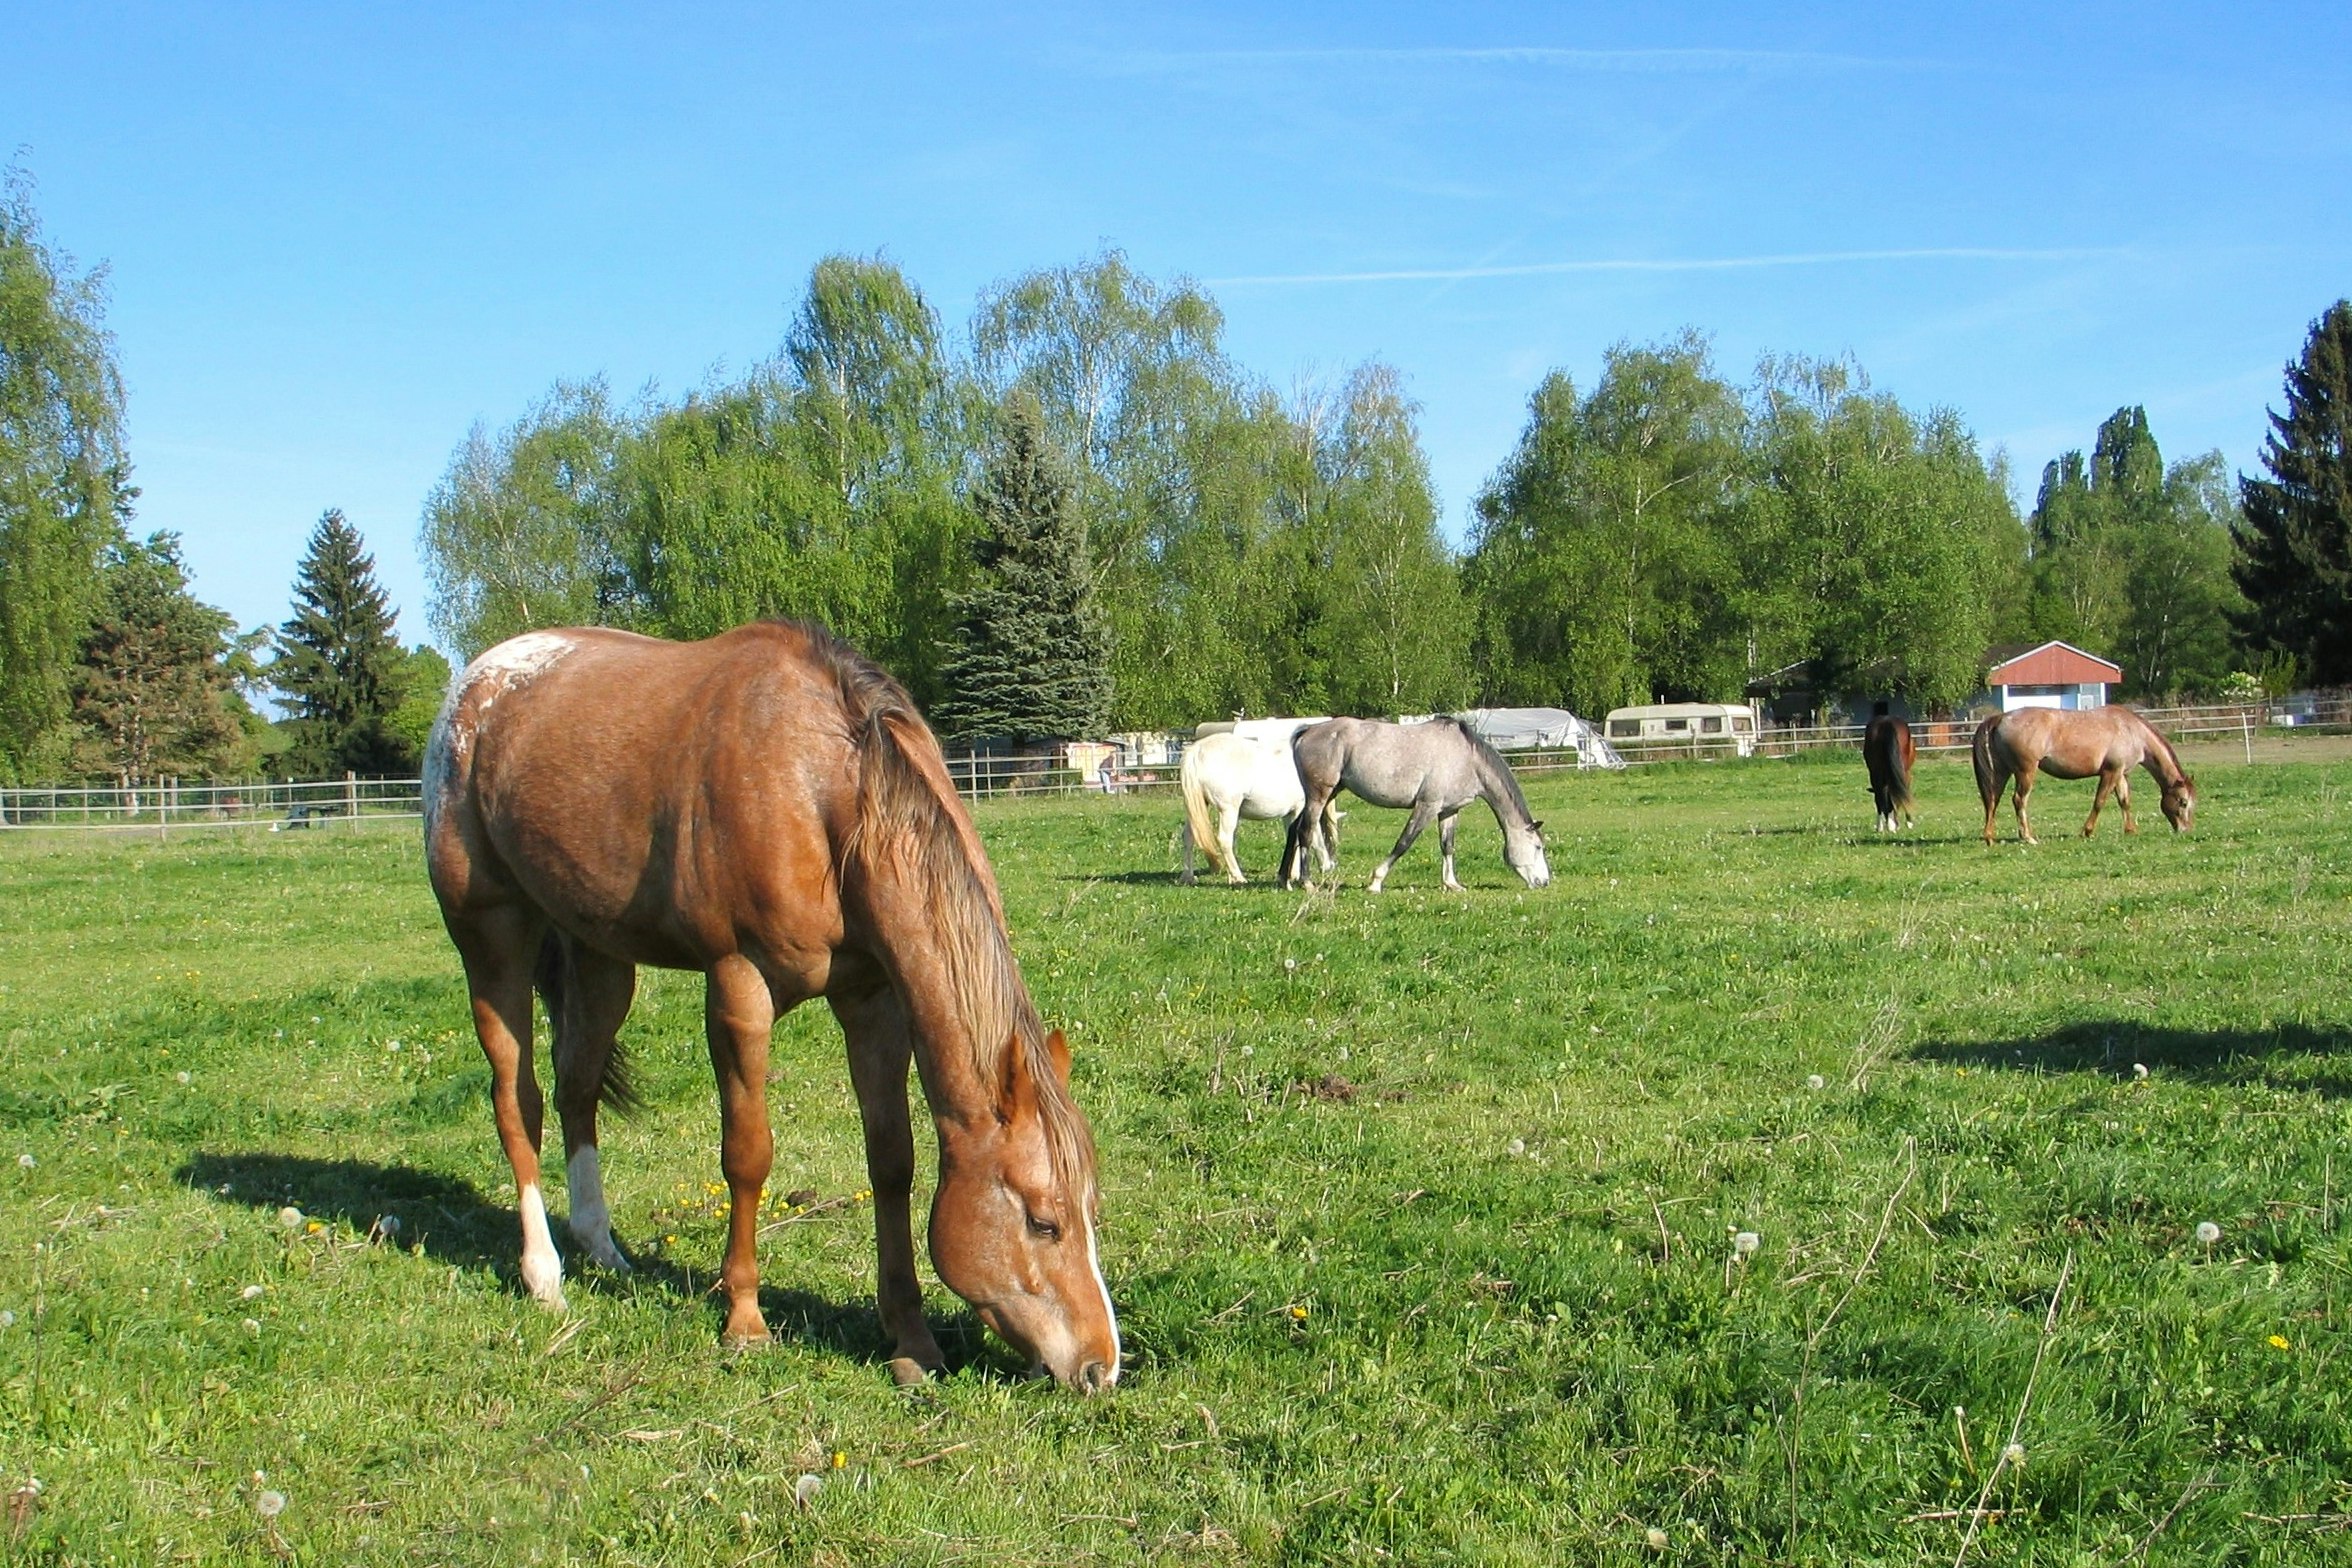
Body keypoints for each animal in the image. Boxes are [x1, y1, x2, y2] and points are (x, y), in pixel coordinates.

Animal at [422, 621, 1119, 1391]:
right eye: (1043, 1221)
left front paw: (910, 1339)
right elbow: (747, 1157)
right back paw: (544, 1274)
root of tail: (476, 687)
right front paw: (745, 1319)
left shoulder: (871, 1000)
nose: (1102, 1367)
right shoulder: (739, 989)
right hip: (490, 936)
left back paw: (601, 1247)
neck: (826, 792)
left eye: (1090, 1211)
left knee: (578, 1088)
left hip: (600, 957)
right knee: (518, 1099)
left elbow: (892, 1161)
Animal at [1177, 730, 1338, 885]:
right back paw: (1238, 877)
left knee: (1189, 836)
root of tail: (1197, 749)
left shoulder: (1289, 814)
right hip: (1228, 810)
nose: (1330, 866)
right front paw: (1295, 875)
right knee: (1225, 840)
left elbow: (1291, 837)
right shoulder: (1299, 809)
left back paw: (1188, 877)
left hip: (1198, 807)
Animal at [1278, 716, 1550, 893]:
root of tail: (1307, 731)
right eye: (1537, 847)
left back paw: (1285, 879)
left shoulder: (1449, 810)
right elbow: (1404, 843)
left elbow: (1447, 846)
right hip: (1319, 795)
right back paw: (1307, 882)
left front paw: (1452, 883)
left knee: (1295, 830)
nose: (1545, 882)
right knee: (1305, 831)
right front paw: (1376, 882)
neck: (1466, 759)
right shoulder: (1427, 806)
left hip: (1326, 793)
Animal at [1972, 705, 2196, 845]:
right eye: (2183, 802)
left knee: (1992, 800)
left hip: (2002, 772)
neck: (2132, 731)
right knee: (2019, 800)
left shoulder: (2121, 773)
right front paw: (2087, 831)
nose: (2185, 830)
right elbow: (2100, 801)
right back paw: (2028, 837)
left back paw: (1990, 837)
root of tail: (2001, 717)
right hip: (2026, 772)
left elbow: (2124, 801)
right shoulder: (2111, 772)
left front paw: (2130, 830)